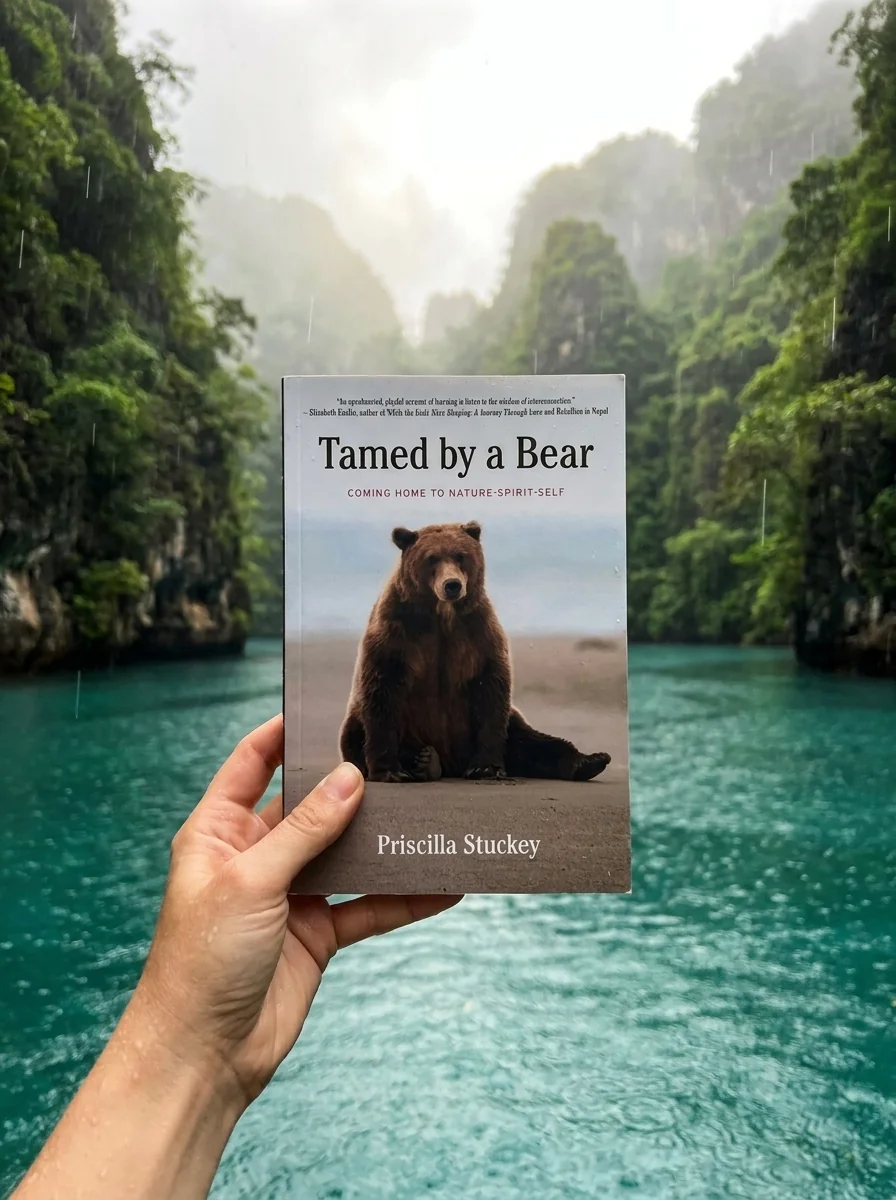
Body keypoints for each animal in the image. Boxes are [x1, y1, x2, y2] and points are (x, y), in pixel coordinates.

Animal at [339, 521, 611, 784]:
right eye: (431, 558)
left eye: (461, 556)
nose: (452, 585)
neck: (442, 616)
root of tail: (452, 763)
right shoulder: (397, 633)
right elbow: (383, 689)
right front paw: (390, 771)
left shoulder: (478, 634)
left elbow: (490, 689)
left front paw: (486, 767)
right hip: (374, 724)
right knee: (356, 735)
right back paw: (424, 761)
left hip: (504, 725)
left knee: (531, 741)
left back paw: (591, 760)